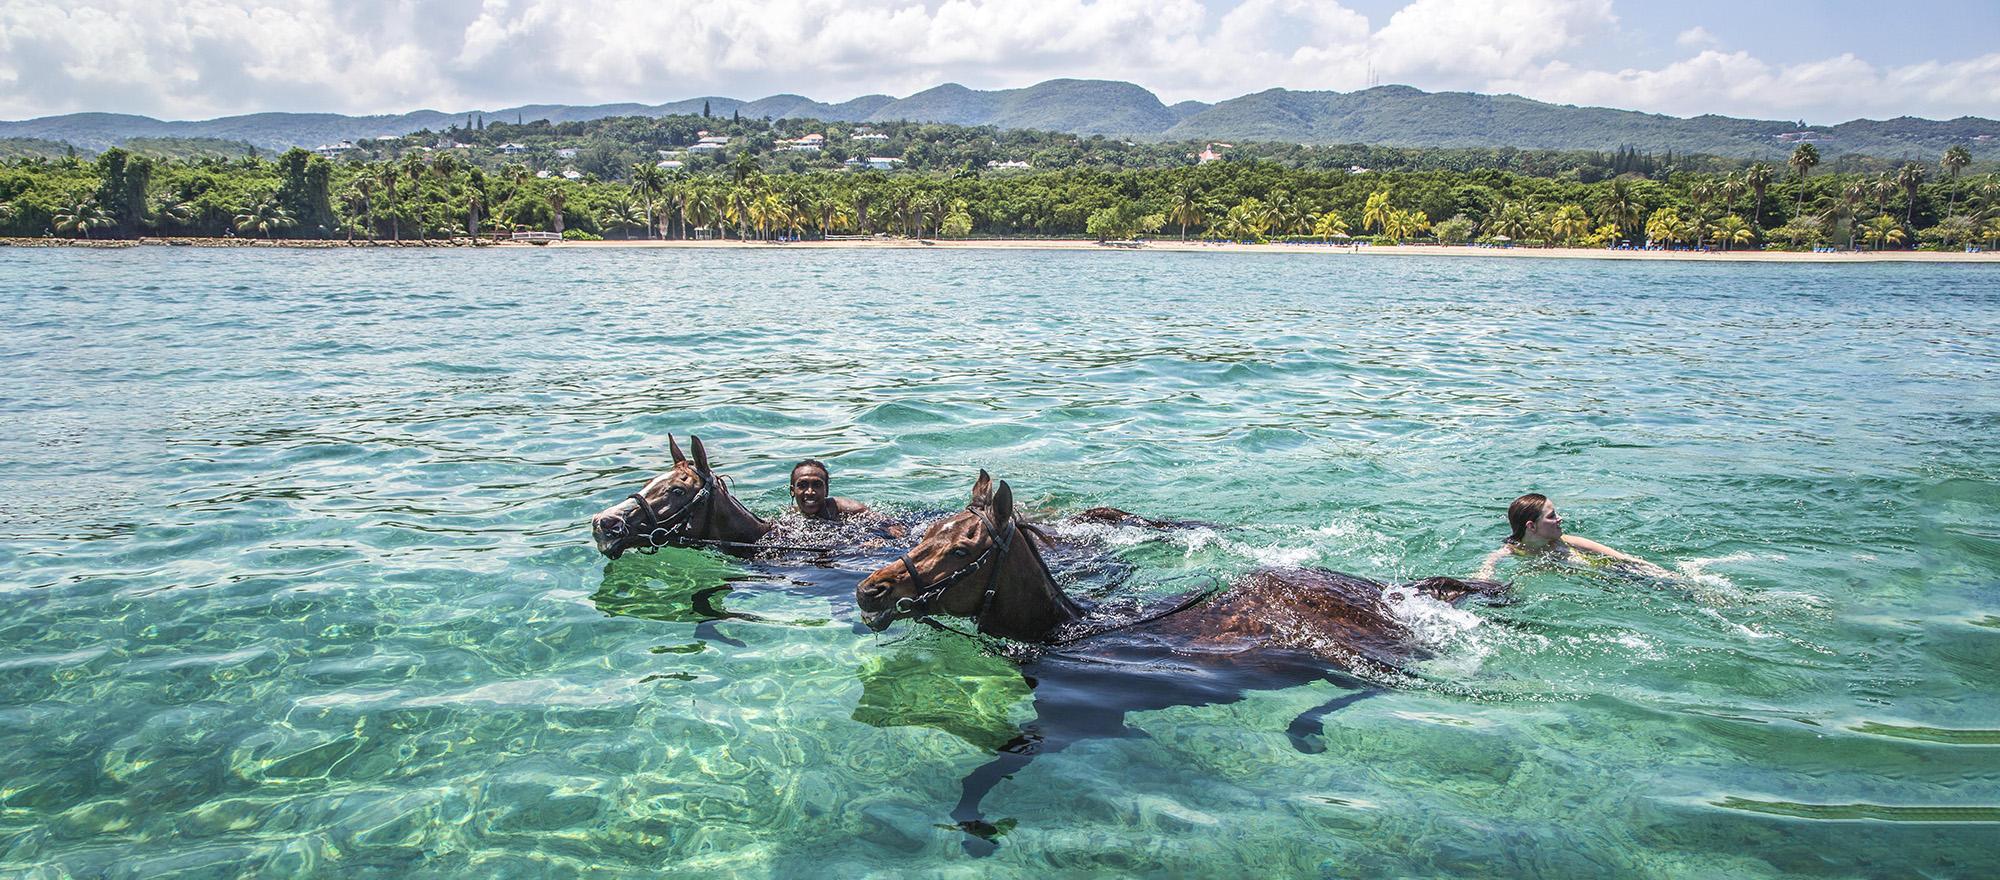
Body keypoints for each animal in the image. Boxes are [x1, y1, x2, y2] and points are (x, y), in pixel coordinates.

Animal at [852, 470, 1507, 853]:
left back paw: (1306, 727)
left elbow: (983, 773)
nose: (870, 592)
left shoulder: (1079, 724)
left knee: (1387, 687)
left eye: (963, 548)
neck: (1071, 633)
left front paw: (974, 828)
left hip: (1351, 656)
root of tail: (1392, 590)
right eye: (927, 531)